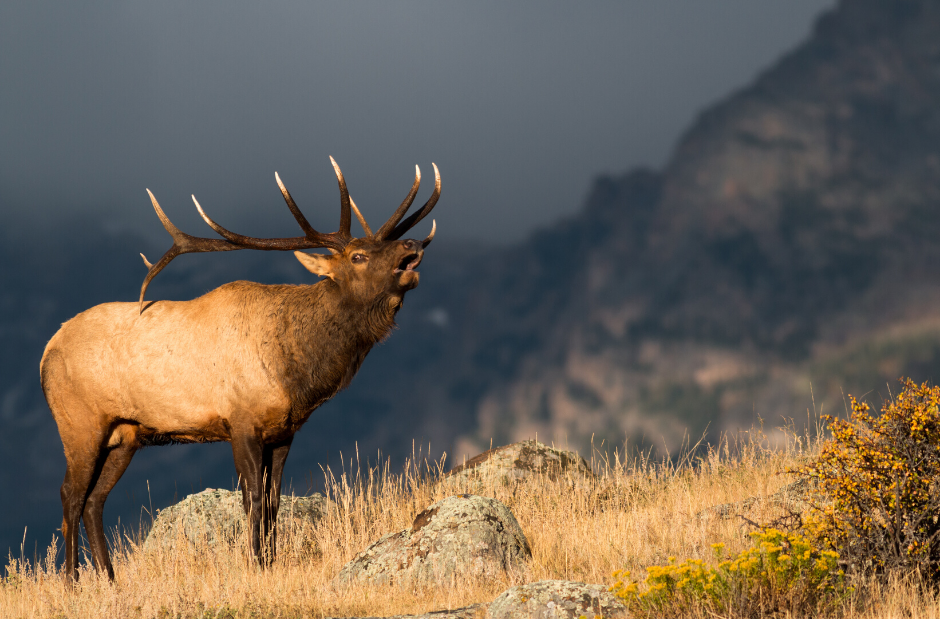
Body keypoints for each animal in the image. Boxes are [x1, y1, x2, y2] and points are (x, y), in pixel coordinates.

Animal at [38, 157, 442, 584]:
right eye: (358, 256)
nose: (413, 244)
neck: (296, 373)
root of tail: (45, 354)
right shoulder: (241, 421)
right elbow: (251, 499)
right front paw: (255, 563)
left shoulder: (283, 431)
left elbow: (273, 499)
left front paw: (271, 561)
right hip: (79, 423)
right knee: (70, 495)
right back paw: (72, 581)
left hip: (126, 434)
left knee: (95, 499)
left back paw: (110, 579)